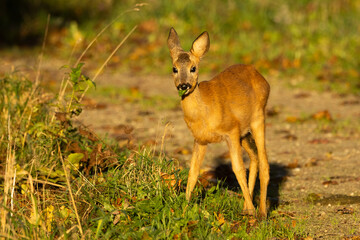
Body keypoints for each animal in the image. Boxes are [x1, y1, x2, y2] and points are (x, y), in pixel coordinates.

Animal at [168, 27, 270, 217]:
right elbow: (193, 171)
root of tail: (263, 78)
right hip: (244, 133)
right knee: (254, 156)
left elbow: (238, 169)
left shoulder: (231, 131)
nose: (183, 85)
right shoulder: (200, 139)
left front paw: (253, 212)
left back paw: (261, 213)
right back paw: (246, 208)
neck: (204, 111)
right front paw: (184, 208)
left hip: (258, 119)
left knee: (264, 162)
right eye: (174, 68)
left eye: (193, 68)